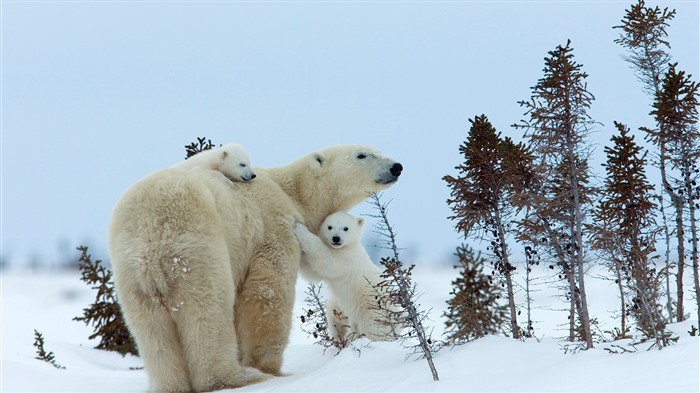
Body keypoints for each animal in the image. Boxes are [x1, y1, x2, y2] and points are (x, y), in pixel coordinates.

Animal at [292, 211, 396, 340]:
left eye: (346, 228)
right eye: (329, 227)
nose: (336, 238)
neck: (348, 246)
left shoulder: (347, 258)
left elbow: (327, 259)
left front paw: (299, 228)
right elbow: (312, 272)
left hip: (375, 313)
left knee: (373, 330)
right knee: (335, 314)